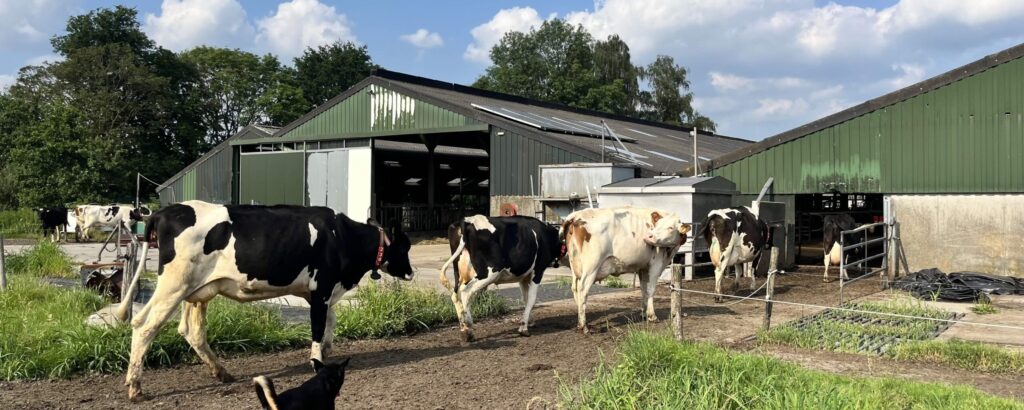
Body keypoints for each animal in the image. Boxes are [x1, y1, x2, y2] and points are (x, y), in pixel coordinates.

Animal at [114, 199, 413, 401]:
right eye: (405, 246)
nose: (411, 272)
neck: (342, 237)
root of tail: (164, 211)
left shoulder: (321, 292)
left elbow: (331, 320)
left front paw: (328, 350)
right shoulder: (322, 287)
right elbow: (318, 327)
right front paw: (317, 361)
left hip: (196, 291)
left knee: (191, 330)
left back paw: (222, 373)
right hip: (174, 284)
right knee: (144, 325)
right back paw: (135, 387)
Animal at [557, 208, 692, 332]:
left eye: (670, 228)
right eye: (657, 225)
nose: (649, 236)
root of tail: (575, 215)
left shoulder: (643, 267)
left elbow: (643, 289)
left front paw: (644, 313)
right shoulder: (656, 264)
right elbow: (650, 289)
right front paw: (652, 316)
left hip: (575, 265)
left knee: (575, 289)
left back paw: (581, 319)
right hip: (591, 266)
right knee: (583, 290)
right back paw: (584, 326)